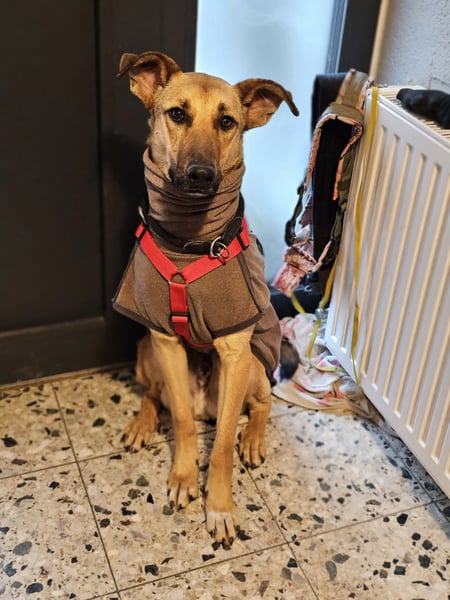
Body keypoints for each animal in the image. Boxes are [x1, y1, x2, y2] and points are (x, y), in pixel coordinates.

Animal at [113, 51, 299, 548]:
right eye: (177, 114)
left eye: (227, 122)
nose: (201, 175)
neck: (190, 242)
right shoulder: (164, 341)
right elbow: (178, 420)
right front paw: (181, 478)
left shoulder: (234, 352)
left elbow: (220, 447)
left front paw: (219, 507)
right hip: (145, 349)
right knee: (154, 395)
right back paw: (142, 423)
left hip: (254, 364)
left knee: (263, 405)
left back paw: (253, 439)